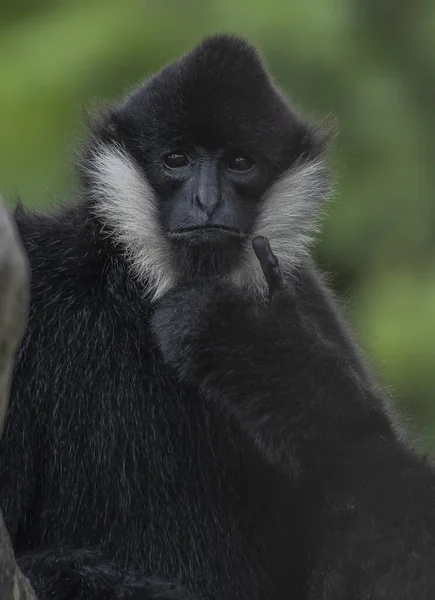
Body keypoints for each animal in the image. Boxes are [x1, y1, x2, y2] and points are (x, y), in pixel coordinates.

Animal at [1, 31, 434, 600]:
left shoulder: (307, 295)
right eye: (177, 159)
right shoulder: (37, 269)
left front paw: (251, 342)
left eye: (239, 163)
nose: (207, 200)